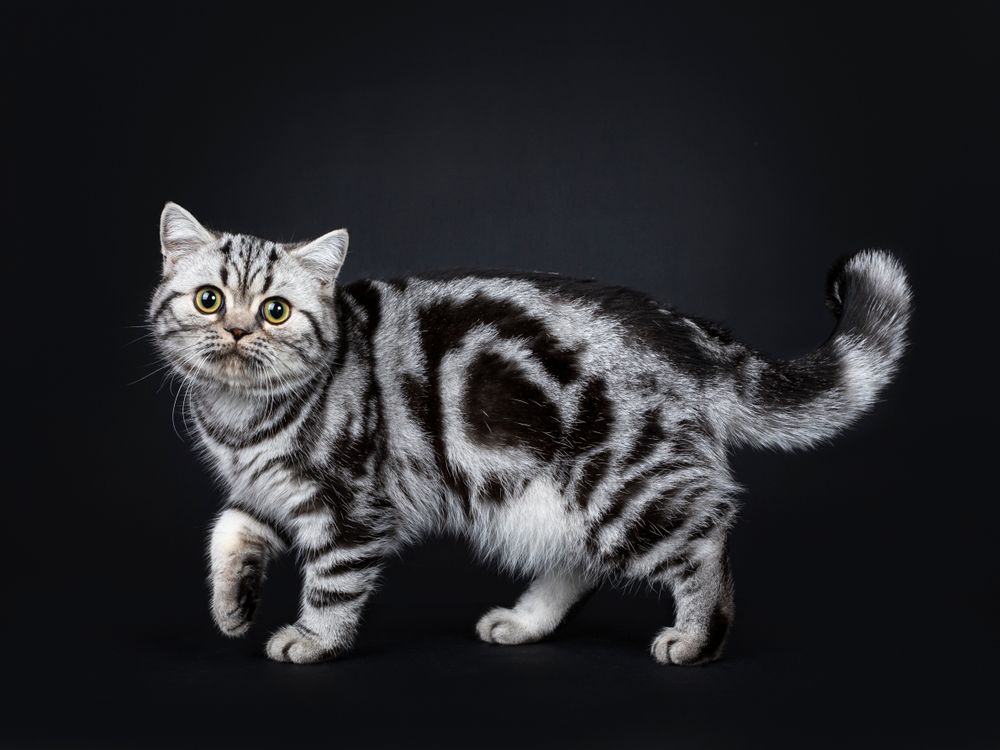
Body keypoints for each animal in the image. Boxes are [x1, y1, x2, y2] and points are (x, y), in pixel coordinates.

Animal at [150, 203, 916, 668]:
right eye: (209, 300)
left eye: (276, 311)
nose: (237, 330)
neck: (242, 418)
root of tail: (692, 336)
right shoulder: (271, 492)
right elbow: (227, 529)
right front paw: (232, 607)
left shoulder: (351, 508)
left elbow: (333, 584)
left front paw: (313, 640)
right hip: (551, 498)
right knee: (582, 563)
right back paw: (524, 623)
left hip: (622, 487)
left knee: (706, 539)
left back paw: (698, 638)